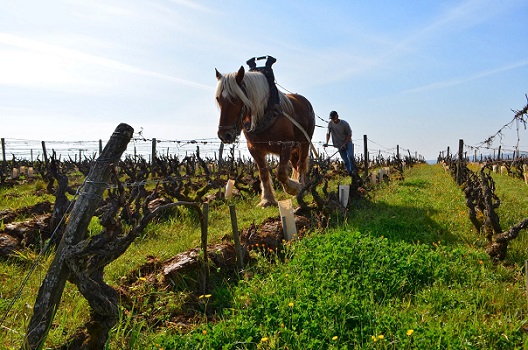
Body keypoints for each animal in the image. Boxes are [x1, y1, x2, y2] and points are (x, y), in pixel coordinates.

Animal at [213, 65, 314, 206]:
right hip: (294, 149)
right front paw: (267, 199)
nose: (224, 134)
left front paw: (294, 188)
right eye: (218, 99)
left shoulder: (286, 145)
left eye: (236, 98)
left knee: (301, 164)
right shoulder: (254, 149)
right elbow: (263, 173)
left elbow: (281, 173)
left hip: (304, 142)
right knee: (296, 164)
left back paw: (302, 186)